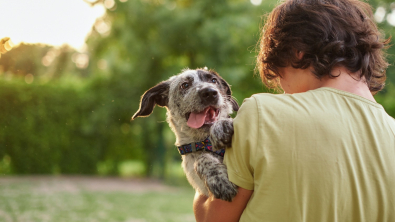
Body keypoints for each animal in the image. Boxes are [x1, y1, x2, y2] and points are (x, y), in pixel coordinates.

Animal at [133, 67, 240, 201]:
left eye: (214, 80)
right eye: (185, 85)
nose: (210, 92)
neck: (205, 142)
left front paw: (220, 126)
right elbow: (201, 159)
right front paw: (219, 179)